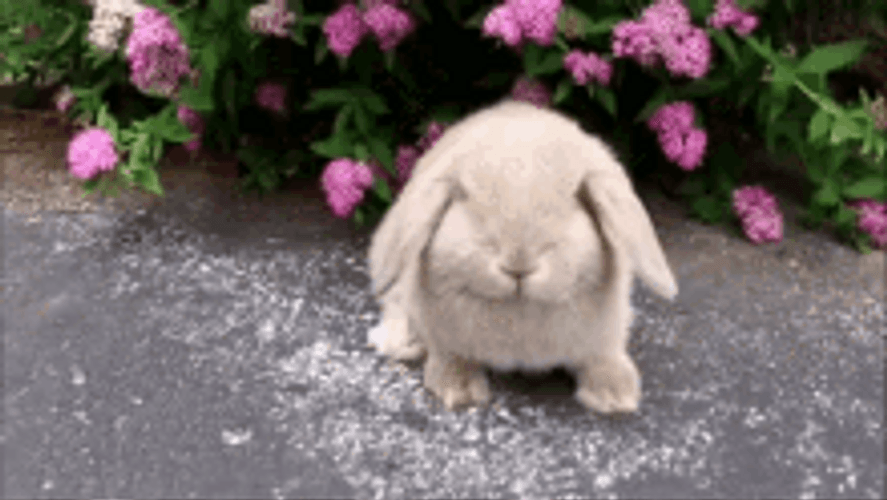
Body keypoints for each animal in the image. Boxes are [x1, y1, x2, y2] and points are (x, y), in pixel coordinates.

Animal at [367, 99, 679, 414]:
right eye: (485, 233)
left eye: (554, 236)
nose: (518, 267)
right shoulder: (442, 330)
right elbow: (450, 352)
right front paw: (458, 389)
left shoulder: (604, 331)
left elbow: (602, 354)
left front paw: (616, 396)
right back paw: (401, 341)